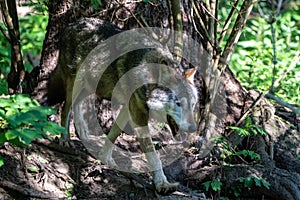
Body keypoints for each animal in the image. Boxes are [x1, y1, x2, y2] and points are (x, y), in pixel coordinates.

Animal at [48, 18, 198, 193]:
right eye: (178, 103)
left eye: (193, 104)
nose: (193, 129)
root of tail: (74, 23)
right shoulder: (138, 116)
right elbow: (154, 156)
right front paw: (162, 184)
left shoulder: (127, 109)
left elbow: (113, 135)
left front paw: (105, 158)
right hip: (76, 83)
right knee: (65, 108)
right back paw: (65, 139)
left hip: (92, 86)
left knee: (77, 104)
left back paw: (82, 130)